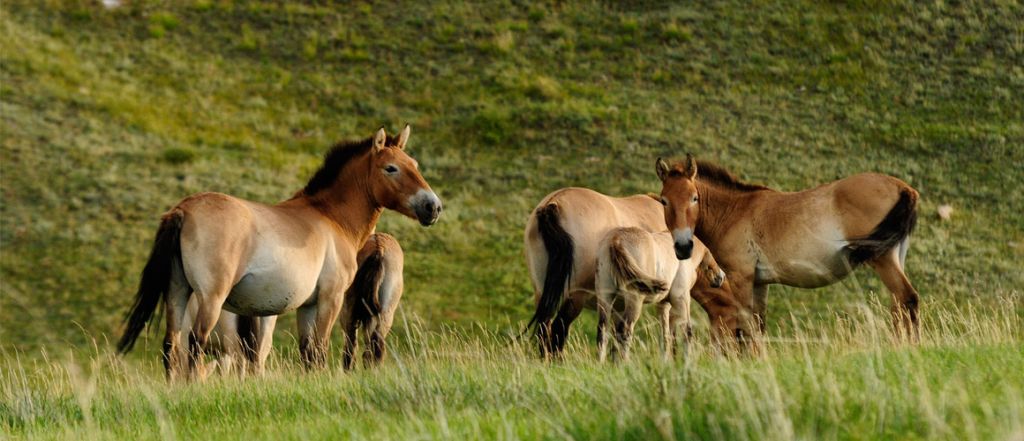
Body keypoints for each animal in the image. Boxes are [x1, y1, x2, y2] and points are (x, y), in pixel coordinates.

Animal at [117, 125, 442, 380]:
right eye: (391, 168)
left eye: (414, 163)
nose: (433, 206)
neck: (330, 216)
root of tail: (183, 210)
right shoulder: (331, 299)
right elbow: (320, 351)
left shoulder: (307, 306)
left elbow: (308, 355)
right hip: (211, 298)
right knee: (195, 346)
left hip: (177, 292)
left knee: (171, 347)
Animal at [593, 231, 729, 362]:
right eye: (710, 249)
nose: (720, 277)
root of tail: (616, 240)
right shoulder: (682, 298)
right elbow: (687, 331)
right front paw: (687, 362)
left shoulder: (663, 304)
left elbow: (665, 335)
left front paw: (666, 363)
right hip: (635, 300)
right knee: (625, 330)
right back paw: (624, 364)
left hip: (606, 297)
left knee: (603, 331)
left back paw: (602, 363)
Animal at [659, 158, 925, 341]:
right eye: (664, 201)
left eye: (694, 197)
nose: (683, 246)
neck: (734, 212)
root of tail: (904, 188)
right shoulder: (760, 282)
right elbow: (758, 326)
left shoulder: (741, 278)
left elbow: (744, 328)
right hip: (895, 257)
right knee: (899, 306)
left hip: (883, 259)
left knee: (907, 299)